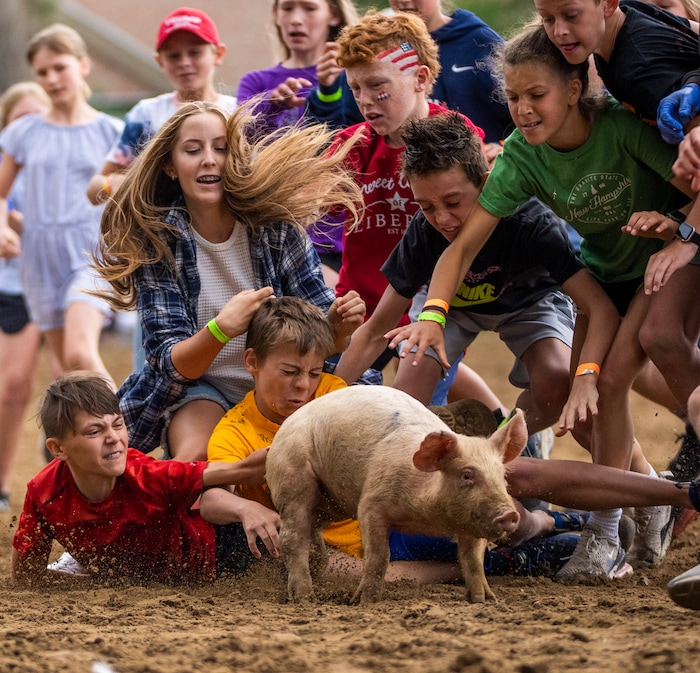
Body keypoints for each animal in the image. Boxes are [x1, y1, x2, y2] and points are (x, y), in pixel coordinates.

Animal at [266, 384, 528, 604]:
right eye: (466, 475)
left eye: (502, 475)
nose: (510, 514)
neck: (429, 519)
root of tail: (284, 426)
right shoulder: (371, 503)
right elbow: (379, 556)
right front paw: (363, 602)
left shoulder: (471, 524)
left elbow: (473, 560)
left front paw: (485, 600)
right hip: (292, 477)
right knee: (292, 538)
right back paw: (306, 599)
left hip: (331, 503)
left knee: (314, 531)